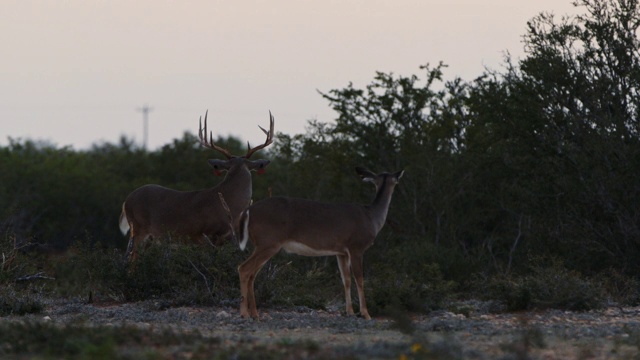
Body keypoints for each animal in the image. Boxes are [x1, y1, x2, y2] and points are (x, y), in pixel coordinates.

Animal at [119, 110, 274, 262]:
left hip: (150, 235)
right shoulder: (206, 234)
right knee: (131, 257)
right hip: (138, 226)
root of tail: (127, 200)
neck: (230, 204)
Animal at [235, 167, 404, 320]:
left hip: (264, 245)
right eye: (396, 180)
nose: (399, 175)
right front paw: (365, 314)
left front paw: (350, 312)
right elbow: (360, 279)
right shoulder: (356, 247)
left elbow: (346, 279)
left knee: (252, 274)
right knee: (244, 268)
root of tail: (247, 211)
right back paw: (244, 314)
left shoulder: (341, 252)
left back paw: (255, 314)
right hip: (268, 242)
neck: (371, 218)